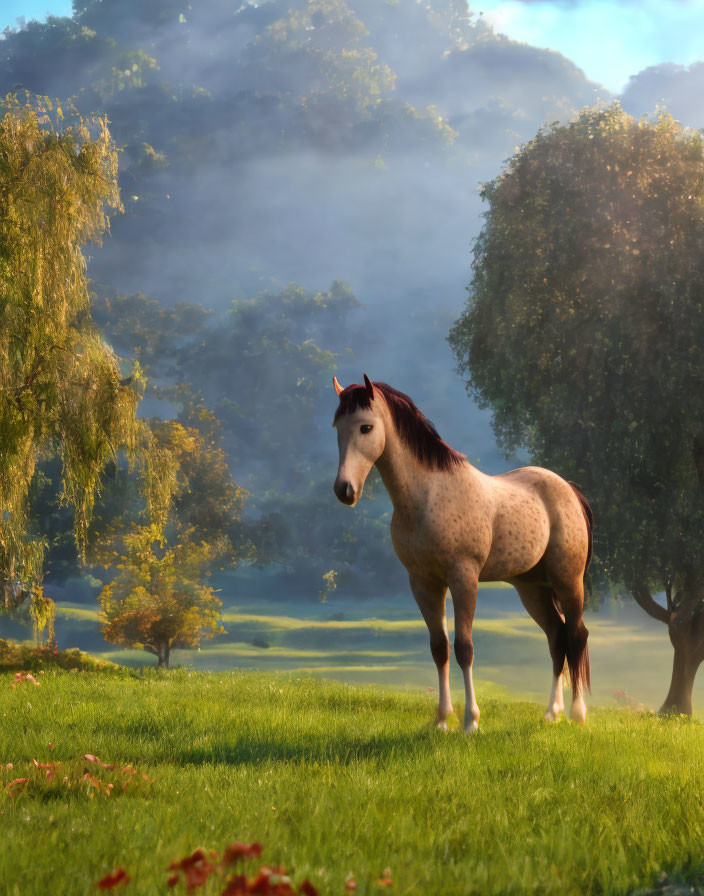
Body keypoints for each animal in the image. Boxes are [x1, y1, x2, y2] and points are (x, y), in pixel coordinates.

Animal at [332, 374, 592, 732]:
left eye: (365, 428)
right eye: (337, 428)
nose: (344, 490)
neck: (428, 497)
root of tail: (569, 490)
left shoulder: (463, 578)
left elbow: (464, 648)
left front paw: (471, 721)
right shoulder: (424, 583)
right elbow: (439, 648)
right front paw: (442, 719)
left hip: (569, 581)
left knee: (576, 635)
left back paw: (577, 714)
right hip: (532, 589)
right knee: (556, 638)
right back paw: (551, 713)